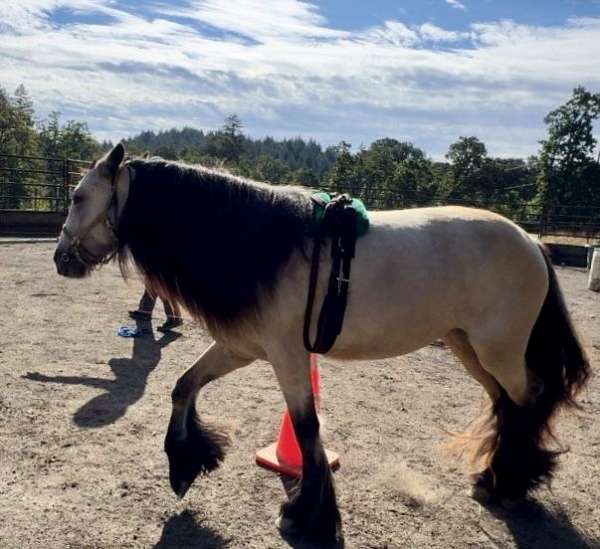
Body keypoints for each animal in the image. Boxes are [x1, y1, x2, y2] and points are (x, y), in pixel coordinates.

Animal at [52, 143, 592, 540]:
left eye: (78, 198)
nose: (61, 259)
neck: (265, 244)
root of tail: (531, 243)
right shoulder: (242, 349)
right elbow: (184, 385)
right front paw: (186, 462)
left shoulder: (288, 357)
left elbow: (307, 429)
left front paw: (305, 516)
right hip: (470, 348)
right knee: (508, 404)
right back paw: (496, 478)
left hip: (498, 351)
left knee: (527, 401)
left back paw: (509, 483)